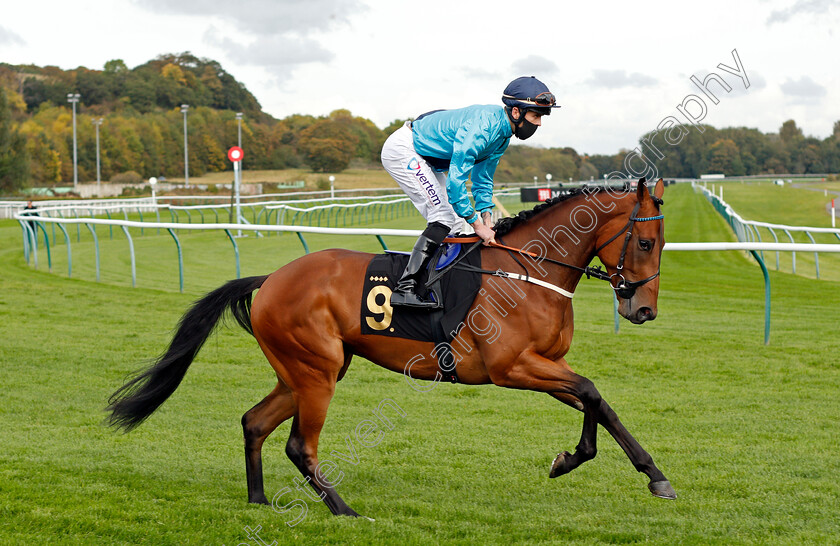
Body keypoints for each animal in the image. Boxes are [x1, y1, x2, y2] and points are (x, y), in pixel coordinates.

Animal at [108, 177, 672, 516]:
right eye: (645, 242)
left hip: (306, 371)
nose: (643, 310)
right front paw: (579, 459)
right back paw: (344, 510)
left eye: (662, 243)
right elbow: (591, 391)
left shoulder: (546, 363)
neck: (528, 270)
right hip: (316, 371)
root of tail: (270, 279)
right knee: (299, 444)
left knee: (254, 422)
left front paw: (644, 474)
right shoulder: (512, 367)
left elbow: (598, 402)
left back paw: (259, 499)